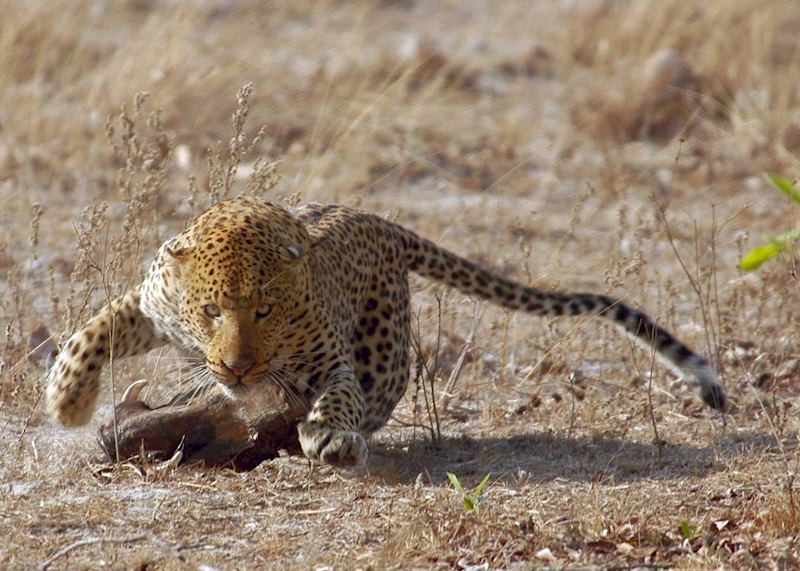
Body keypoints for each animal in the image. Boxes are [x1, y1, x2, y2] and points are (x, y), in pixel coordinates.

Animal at [46, 196, 727, 467]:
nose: (238, 369)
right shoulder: (150, 301)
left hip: (383, 351)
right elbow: (92, 331)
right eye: (213, 310)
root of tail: (380, 220)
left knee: (375, 392)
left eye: (264, 312)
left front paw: (330, 438)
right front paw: (67, 400)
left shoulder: (331, 362)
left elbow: (338, 398)